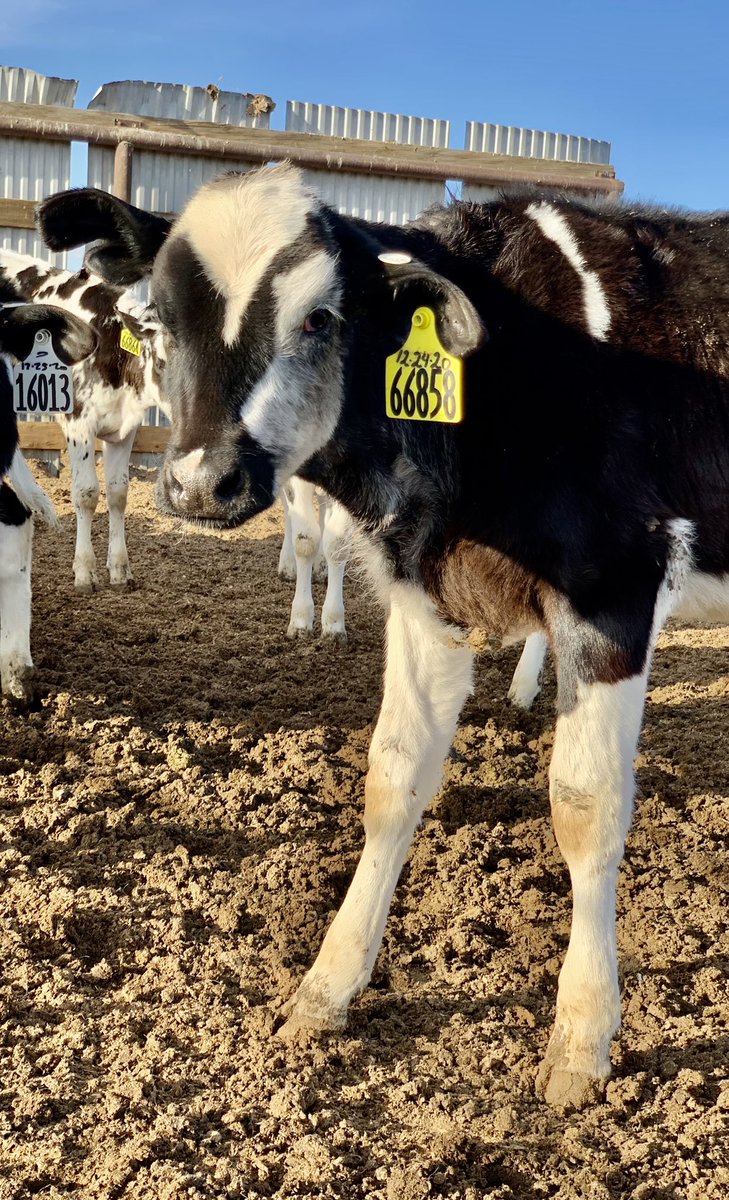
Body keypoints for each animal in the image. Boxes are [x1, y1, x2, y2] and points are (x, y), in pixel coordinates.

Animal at [38, 165, 729, 1110]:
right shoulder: (422, 595)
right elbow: (393, 776)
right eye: (163, 322)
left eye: (319, 319)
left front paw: (582, 1038)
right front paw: (325, 989)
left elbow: (585, 806)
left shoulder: (614, 586)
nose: (198, 483)